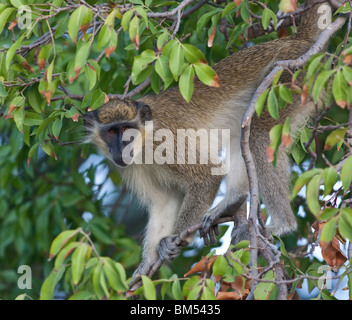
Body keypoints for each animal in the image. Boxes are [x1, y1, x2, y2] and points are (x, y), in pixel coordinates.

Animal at [84, 0, 332, 278]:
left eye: (127, 129)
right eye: (112, 132)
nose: (121, 147)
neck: (144, 143)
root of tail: (296, 42)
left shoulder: (166, 140)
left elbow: (207, 174)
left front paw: (175, 239)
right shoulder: (129, 167)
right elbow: (164, 202)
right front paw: (148, 264)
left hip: (289, 80)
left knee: (258, 134)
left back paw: (280, 224)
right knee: (243, 133)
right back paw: (235, 201)